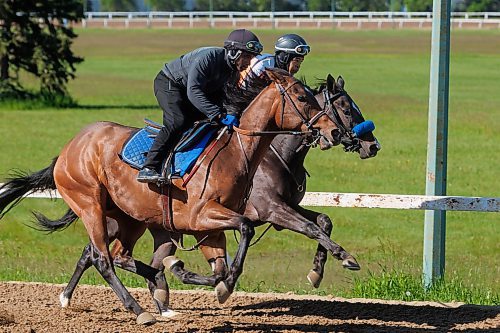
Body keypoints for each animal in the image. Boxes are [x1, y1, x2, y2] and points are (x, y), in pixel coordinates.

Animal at [0, 68, 348, 324]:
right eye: (302, 97)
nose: (334, 132)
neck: (237, 152)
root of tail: (67, 150)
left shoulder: (211, 227)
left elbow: (220, 266)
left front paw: (208, 280)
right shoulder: (206, 215)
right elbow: (247, 229)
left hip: (129, 218)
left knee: (117, 255)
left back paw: (155, 292)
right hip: (90, 206)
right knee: (102, 258)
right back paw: (139, 310)